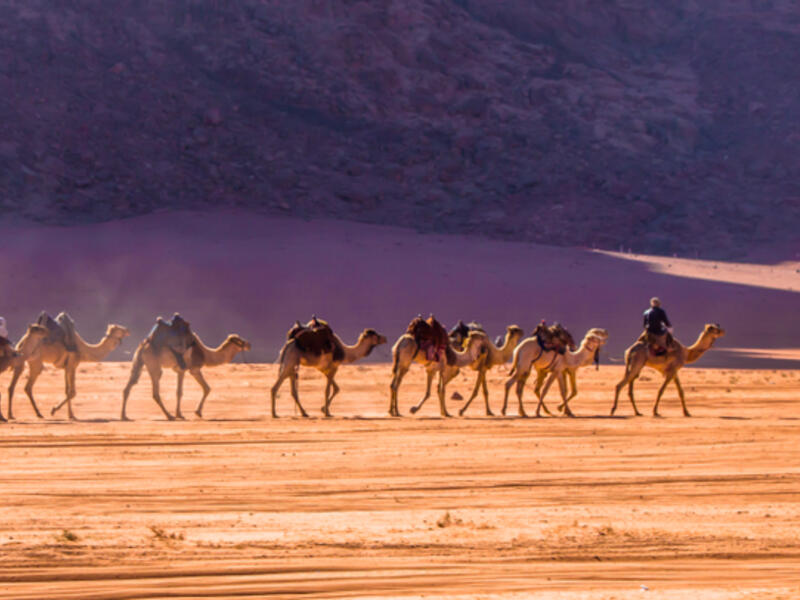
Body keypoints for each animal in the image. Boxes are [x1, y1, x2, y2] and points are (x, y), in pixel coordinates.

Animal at [121, 329, 251, 420]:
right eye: (240, 341)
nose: (249, 344)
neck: (205, 354)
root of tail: (143, 345)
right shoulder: (193, 369)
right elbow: (204, 388)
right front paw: (196, 412)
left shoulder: (180, 370)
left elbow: (181, 392)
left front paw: (181, 414)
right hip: (154, 364)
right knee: (155, 391)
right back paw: (169, 416)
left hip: (139, 361)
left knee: (129, 385)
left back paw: (124, 416)